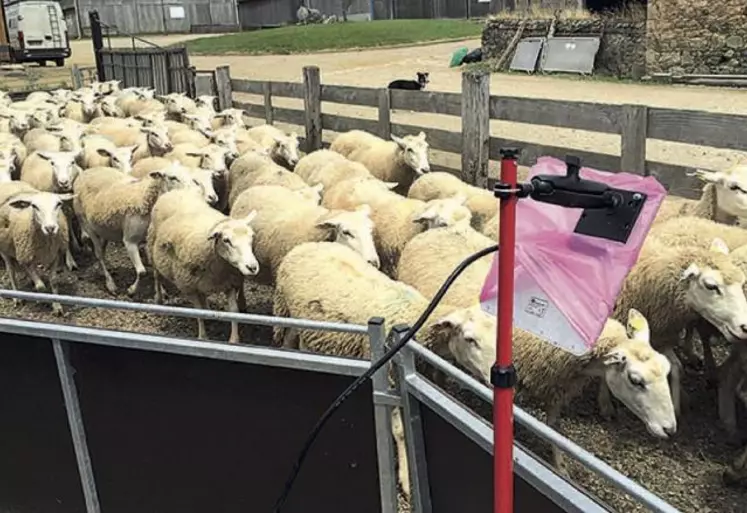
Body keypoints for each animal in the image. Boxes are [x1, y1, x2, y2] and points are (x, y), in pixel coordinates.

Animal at [72, 160, 202, 296]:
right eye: (173, 178)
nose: (196, 193)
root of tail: (84, 172)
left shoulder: (151, 241)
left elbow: (156, 269)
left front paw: (160, 291)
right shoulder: (130, 241)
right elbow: (142, 272)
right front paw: (132, 290)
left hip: (103, 227)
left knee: (101, 250)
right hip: (86, 223)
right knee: (98, 254)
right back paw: (110, 284)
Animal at [148, 186, 262, 342]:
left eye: (252, 237)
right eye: (226, 240)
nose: (252, 267)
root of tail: (175, 191)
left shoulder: (230, 282)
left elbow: (233, 310)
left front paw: (234, 340)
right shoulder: (188, 287)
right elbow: (198, 312)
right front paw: (203, 337)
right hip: (153, 250)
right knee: (157, 276)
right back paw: (159, 299)